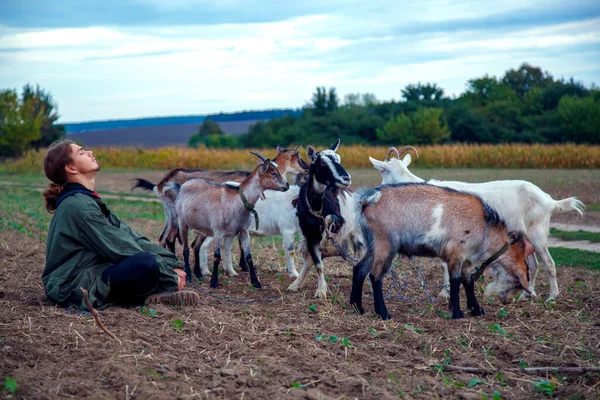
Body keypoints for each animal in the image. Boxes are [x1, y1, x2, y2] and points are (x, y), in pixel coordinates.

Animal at [169, 152, 290, 288]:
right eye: (273, 173)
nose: (287, 185)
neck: (238, 201)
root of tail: (183, 185)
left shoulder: (243, 231)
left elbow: (249, 257)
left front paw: (256, 282)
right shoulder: (217, 231)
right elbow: (217, 256)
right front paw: (214, 282)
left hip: (203, 228)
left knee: (196, 245)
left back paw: (199, 274)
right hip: (182, 221)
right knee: (185, 249)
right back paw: (189, 276)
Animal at [350, 183, 532, 320]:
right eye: (517, 283)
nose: (507, 302)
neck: (485, 228)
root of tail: (367, 201)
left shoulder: (466, 260)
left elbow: (468, 281)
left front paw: (476, 310)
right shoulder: (456, 253)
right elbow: (455, 281)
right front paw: (457, 313)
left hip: (373, 245)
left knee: (359, 269)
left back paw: (357, 308)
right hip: (385, 243)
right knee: (375, 275)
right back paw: (383, 313)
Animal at [370, 146, 584, 300]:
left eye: (381, 171)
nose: (377, 190)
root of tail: (549, 200)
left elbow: (444, 265)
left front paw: (444, 293)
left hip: (537, 233)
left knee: (549, 263)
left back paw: (552, 297)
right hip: (525, 236)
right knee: (533, 265)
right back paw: (526, 295)